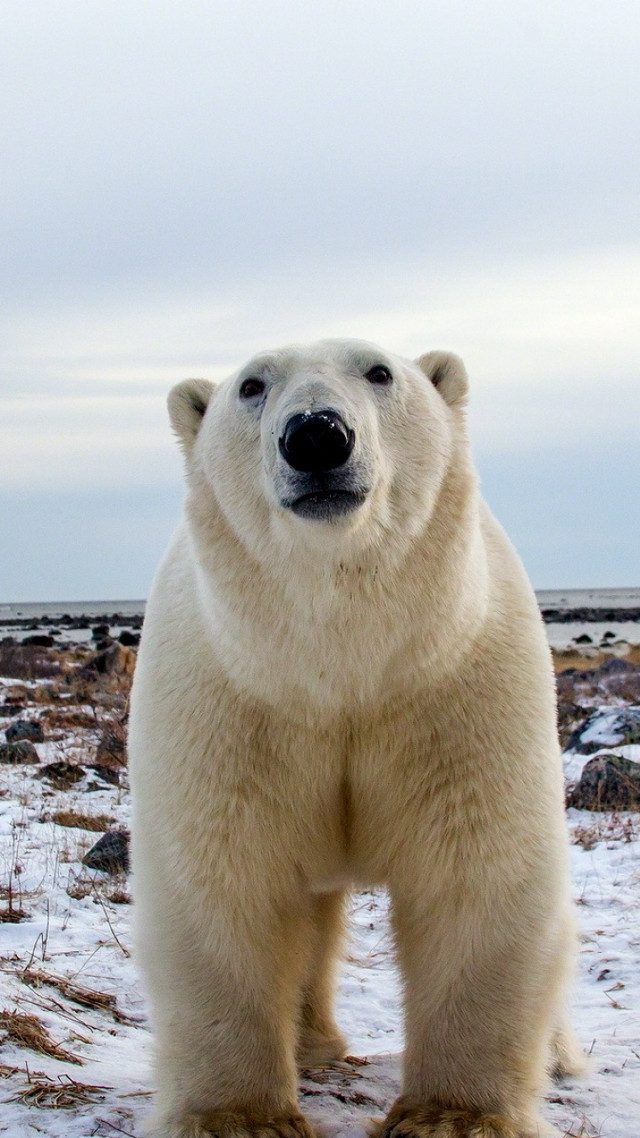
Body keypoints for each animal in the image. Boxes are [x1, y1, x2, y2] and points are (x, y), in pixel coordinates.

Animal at [128, 339, 583, 1138]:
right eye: (251, 385)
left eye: (379, 371)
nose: (316, 436)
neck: (341, 665)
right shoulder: (231, 703)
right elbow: (226, 878)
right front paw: (240, 1116)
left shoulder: (454, 691)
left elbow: (476, 872)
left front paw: (450, 1116)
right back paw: (312, 1045)